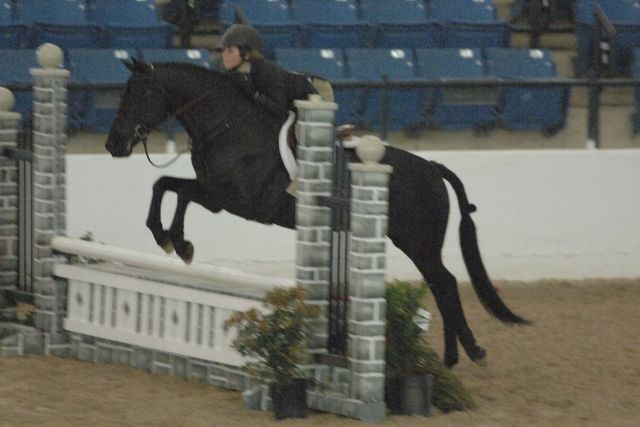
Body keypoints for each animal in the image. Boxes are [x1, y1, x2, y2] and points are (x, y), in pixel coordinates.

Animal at [105, 59, 527, 368]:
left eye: (137, 94)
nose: (113, 145)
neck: (227, 125)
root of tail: (433, 168)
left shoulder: (236, 200)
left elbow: (180, 193)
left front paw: (178, 243)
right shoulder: (215, 195)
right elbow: (166, 186)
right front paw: (168, 238)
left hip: (418, 243)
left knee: (445, 284)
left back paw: (469, 352)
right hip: (415, 243)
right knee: (442, 285)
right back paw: (453, 357)